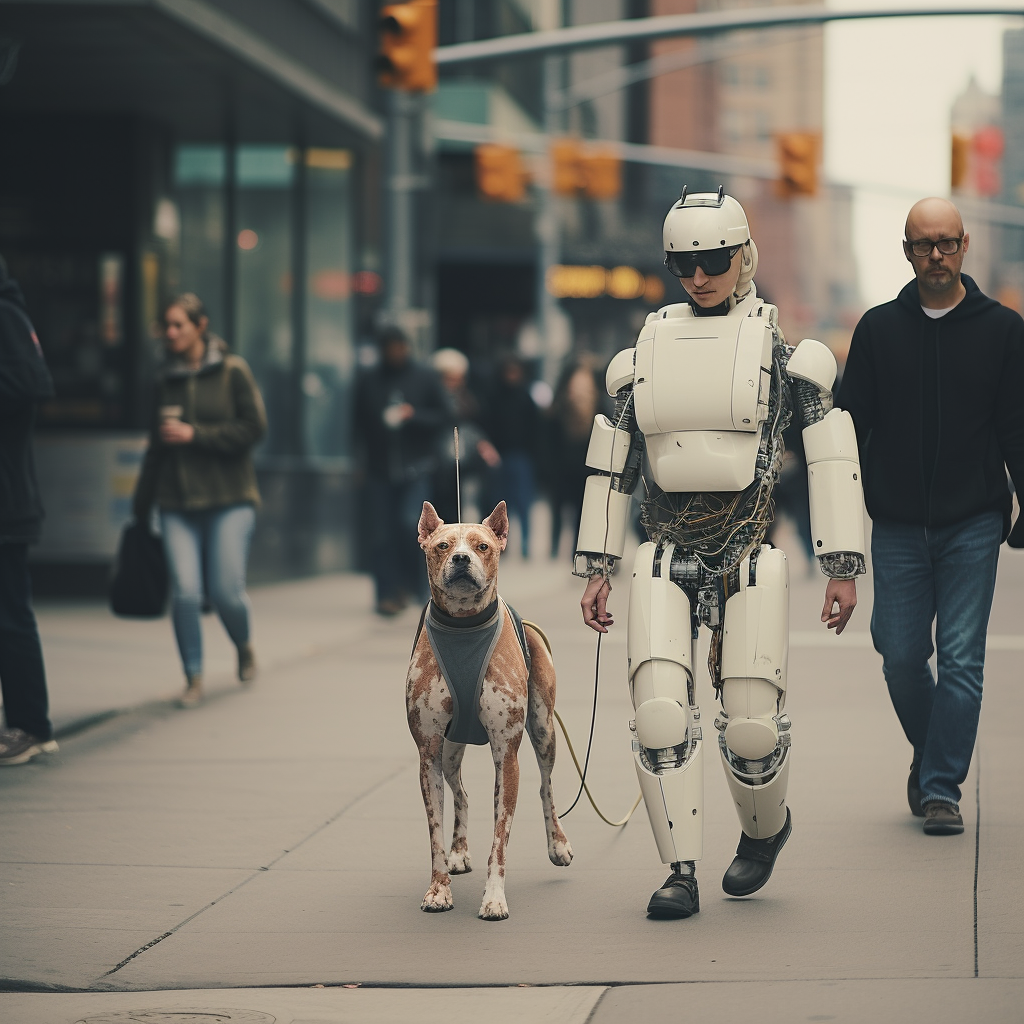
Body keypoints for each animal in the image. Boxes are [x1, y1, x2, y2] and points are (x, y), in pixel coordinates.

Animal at [403, 501, 573, 921]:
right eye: (442, 546)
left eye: (482, 546)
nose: (462, 558)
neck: (464, 625)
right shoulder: (428, 754)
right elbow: (435, 832)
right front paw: (439, 889)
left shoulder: (506, 755)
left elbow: (500, 839)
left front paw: (494, 898)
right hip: (449, 752)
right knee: (461, 793)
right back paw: (459, 852)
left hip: (544, 730)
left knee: (546, 786)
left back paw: (558, 844)